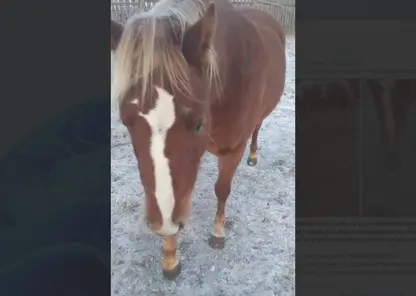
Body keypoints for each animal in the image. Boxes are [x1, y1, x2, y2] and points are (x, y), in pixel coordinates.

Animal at [110, 0, 286, 278]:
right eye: (125, 121)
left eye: (198, 124)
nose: (162, 223)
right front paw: (170, 256)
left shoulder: (233, 149)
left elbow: (221, 189)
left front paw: (218, 233)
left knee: (257, 127)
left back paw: (254, 155)